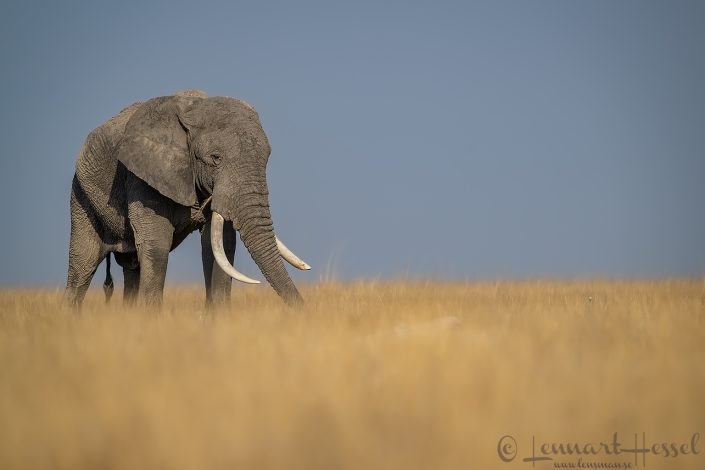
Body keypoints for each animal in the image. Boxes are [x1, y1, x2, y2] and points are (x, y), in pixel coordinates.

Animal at [64, 89, 310, 308]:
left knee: (131, 268)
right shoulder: (143, 175)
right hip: (81, 195)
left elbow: (219, 246)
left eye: (266, 158)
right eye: (215, 158)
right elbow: (157, 245)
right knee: (83, 264)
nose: (304, 311)